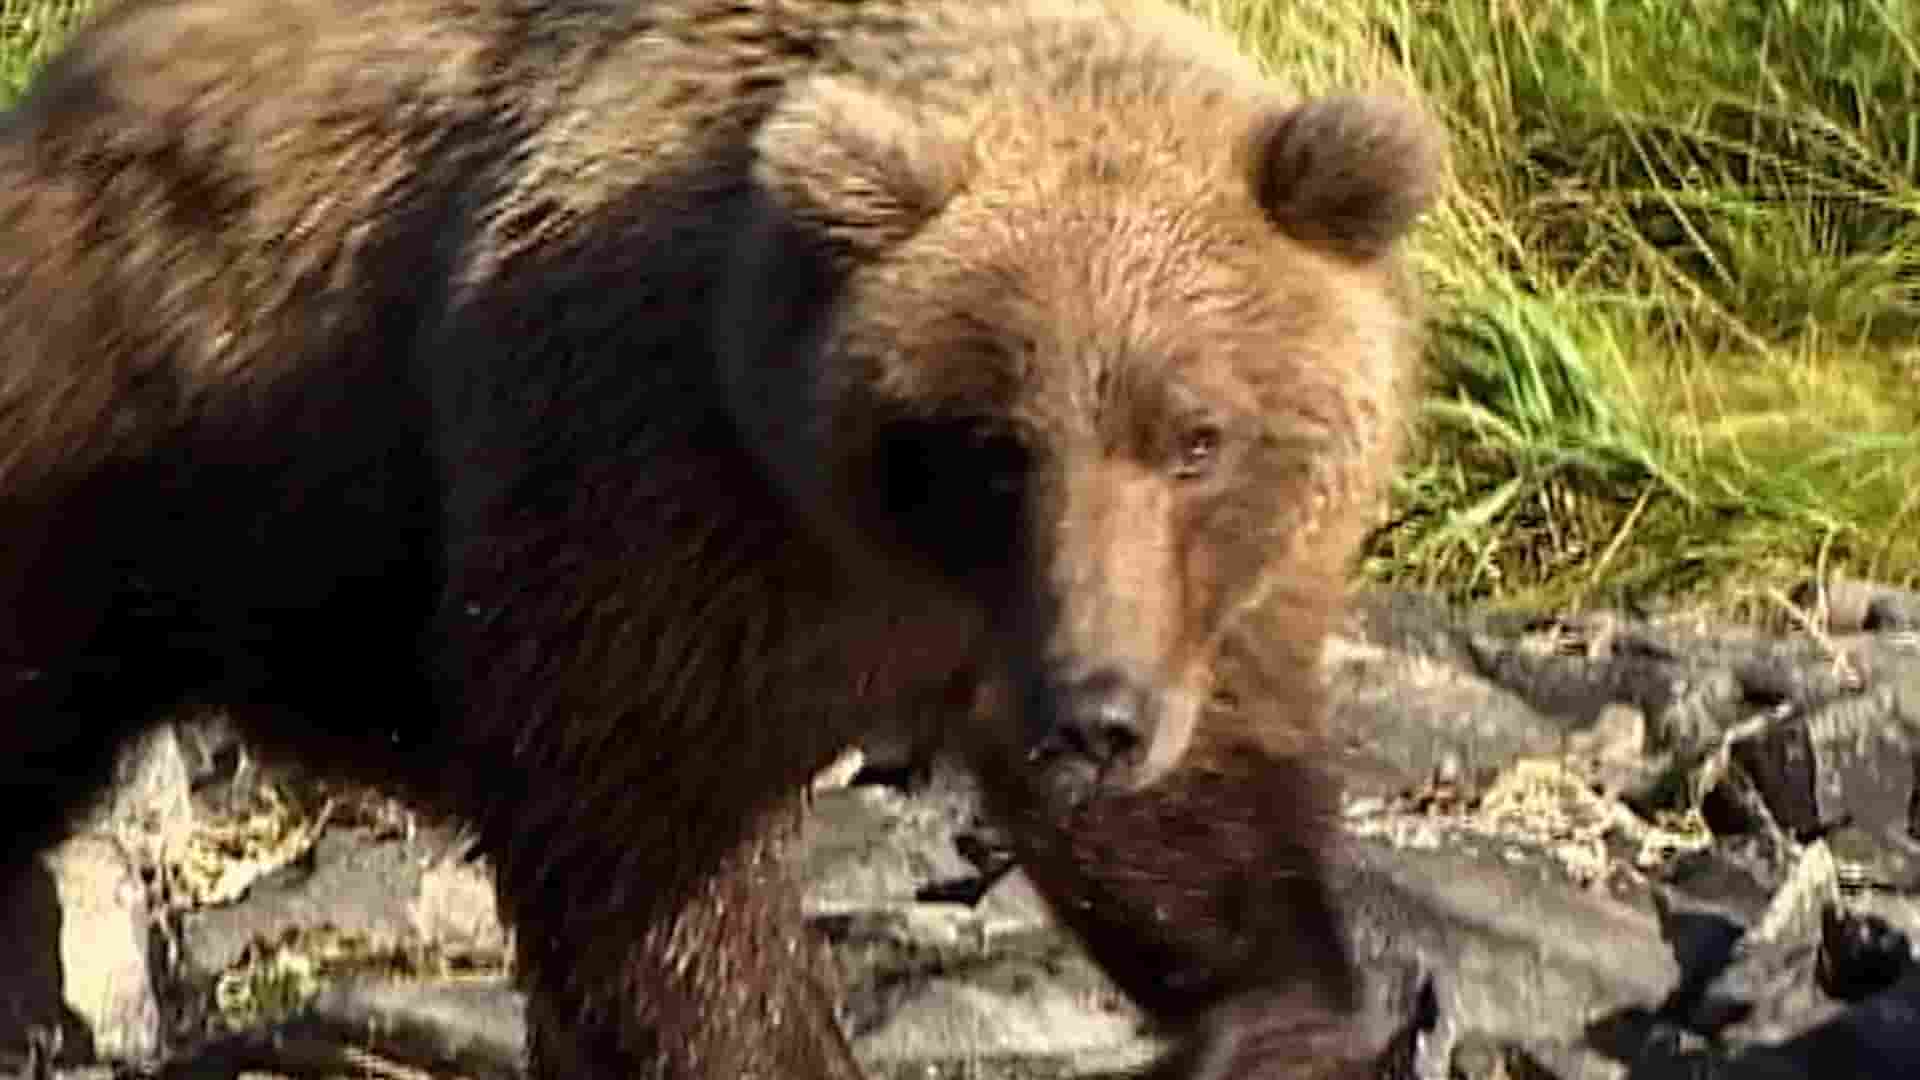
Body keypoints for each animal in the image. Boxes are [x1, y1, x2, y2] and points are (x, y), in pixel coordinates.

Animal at [0, 0, 1444, 1077]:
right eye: (995, 443)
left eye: (1197, 436)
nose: (1095, 715)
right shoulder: (648, 494)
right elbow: (650, 853)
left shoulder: (1189, 612)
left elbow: (1203, 813)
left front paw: (1291, 1007)